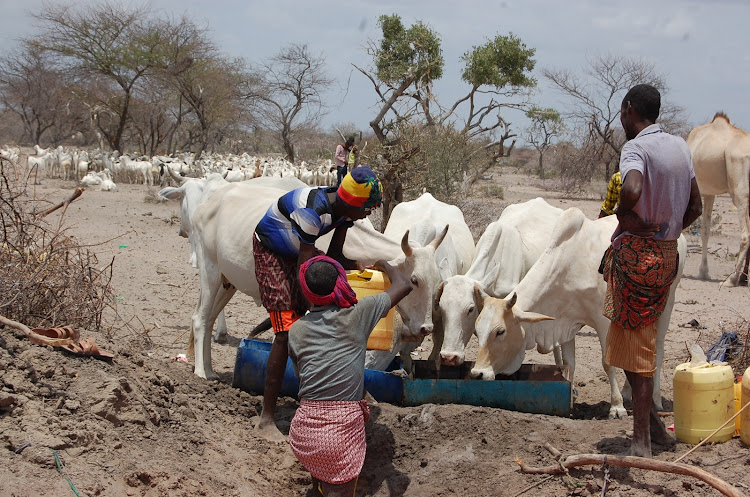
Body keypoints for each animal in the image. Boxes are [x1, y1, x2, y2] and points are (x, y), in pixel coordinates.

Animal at [476, 207, 688, 416]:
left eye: (500, 331)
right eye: (477, 332)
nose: (478, 373)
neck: (568, 265)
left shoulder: (603, 322)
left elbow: (608, 362)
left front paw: (617, 406)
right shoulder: (564, 323)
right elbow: (569, 363)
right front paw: (571, 400)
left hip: (666, 306)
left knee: (657, 351)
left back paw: (655, 399)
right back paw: (630, 393)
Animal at [692, 111, 748, 284]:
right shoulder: (710, 193)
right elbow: (705, 230)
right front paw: (703, 272)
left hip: (740, 193)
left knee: (745, 235)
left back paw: (732, 279)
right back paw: (743, 278)